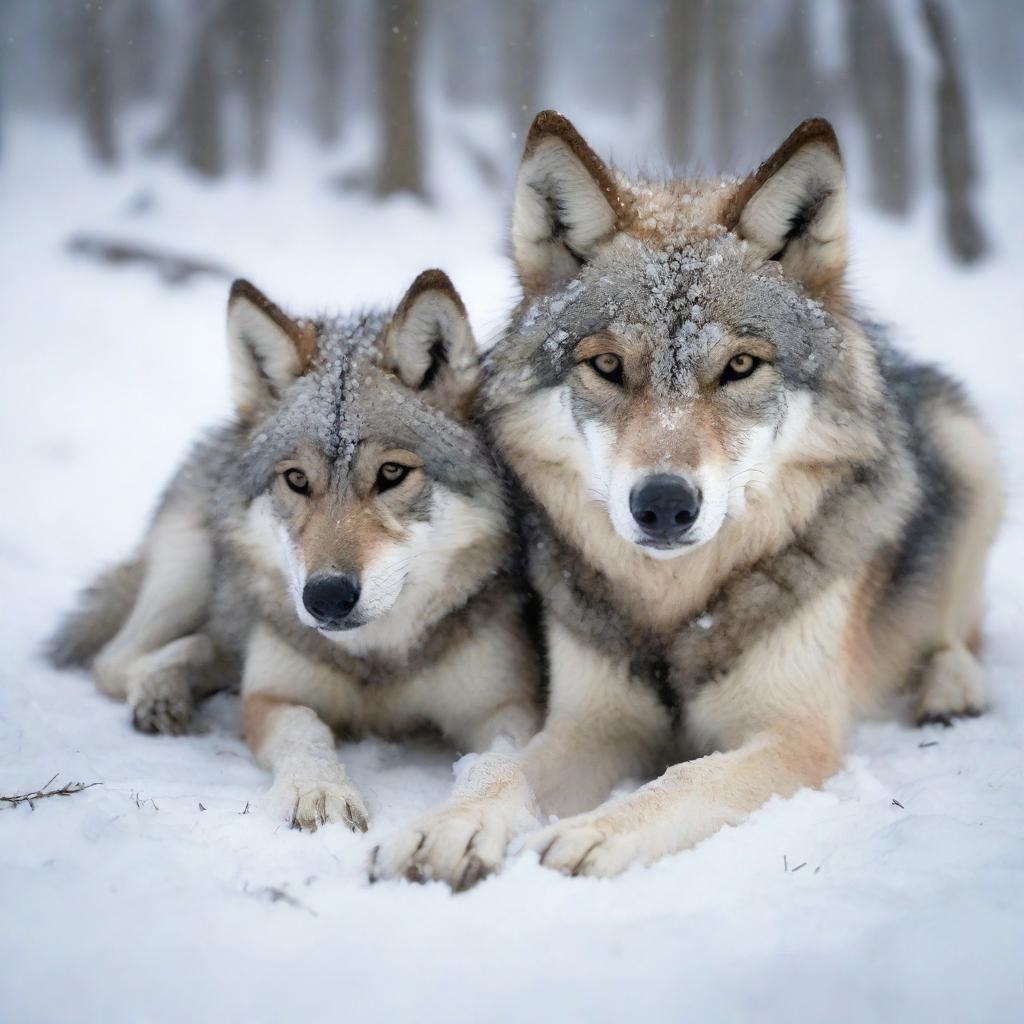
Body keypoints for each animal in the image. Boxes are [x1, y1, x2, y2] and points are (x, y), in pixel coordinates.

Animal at [48, 272, 540, 839]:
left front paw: (465, 821)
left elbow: (500, 763)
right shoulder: (273, 698)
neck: (375, 663)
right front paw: (320, 792)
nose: (326, 596)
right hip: (189, 568)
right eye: (297, 480)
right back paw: (161, 689)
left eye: (392, 473)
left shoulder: (510, 707)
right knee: (118, 661)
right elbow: (305, 730)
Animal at [370, 110, 999, 880]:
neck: (676, 604)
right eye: (608, 366)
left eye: (740, 366)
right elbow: (503, 768)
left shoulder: (794, 735)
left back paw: (953, 687)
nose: (665, 503)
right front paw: (449, 826)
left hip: (974, 458)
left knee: (964, 631)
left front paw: (595, 832)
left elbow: (688, 776)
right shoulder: (593, 722)